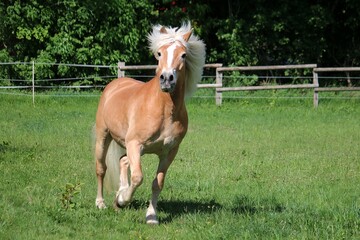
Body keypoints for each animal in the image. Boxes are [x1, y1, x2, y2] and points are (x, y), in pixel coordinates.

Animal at [93, 23, 205, 225]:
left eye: (183, 55)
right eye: (159, 53)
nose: (167, 79)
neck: (163, 111)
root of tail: (115, 85)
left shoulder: (169, 152)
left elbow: (157, 183)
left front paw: (151, 216)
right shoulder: (134, 144)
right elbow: (138, 177)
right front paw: (122, 200)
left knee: (123, 161)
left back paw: (119, 192)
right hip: (104, 138)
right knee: (101, 169)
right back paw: (101, 203)